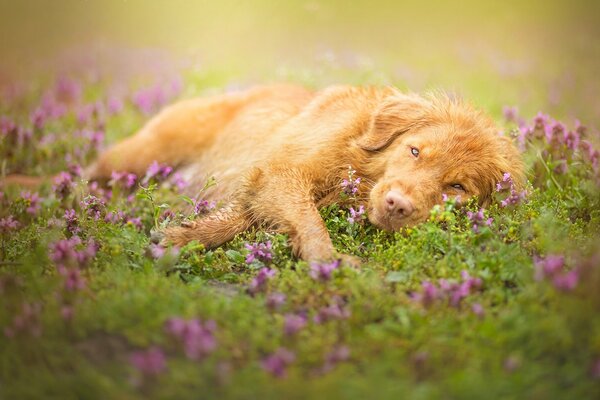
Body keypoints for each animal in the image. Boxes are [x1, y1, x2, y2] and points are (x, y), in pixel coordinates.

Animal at [82, 83, 524, 260]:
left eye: (456, 187)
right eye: (414, 151)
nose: (397, 205)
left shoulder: (266, 182)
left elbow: (243, 218)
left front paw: (184, 236)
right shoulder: (283, 172)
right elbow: (311, 223)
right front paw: (329, 263)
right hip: (139, 154)